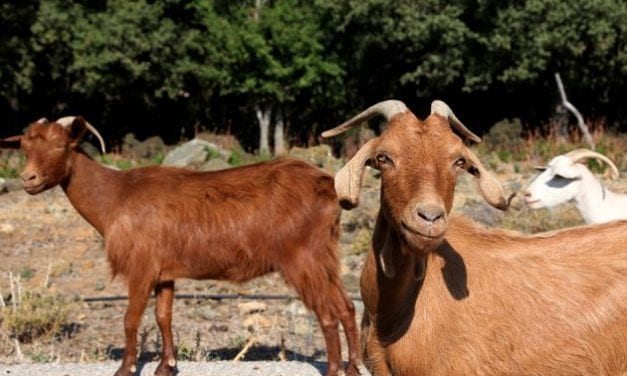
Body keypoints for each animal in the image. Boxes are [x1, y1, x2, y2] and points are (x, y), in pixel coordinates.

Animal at [2, 117, 360, 376]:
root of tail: (328, 185)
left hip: (303, 259)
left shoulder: (141, 266)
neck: (115, 196)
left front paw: (125, 369)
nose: (28, 179)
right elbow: (163, 316)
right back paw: (354, 367)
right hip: (325, 256)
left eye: (61, 145)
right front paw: (166, 366)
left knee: (327, 314)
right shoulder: (164, 273)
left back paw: (334, 370)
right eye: (24, 147)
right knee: (346, 307)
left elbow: (131, 317)